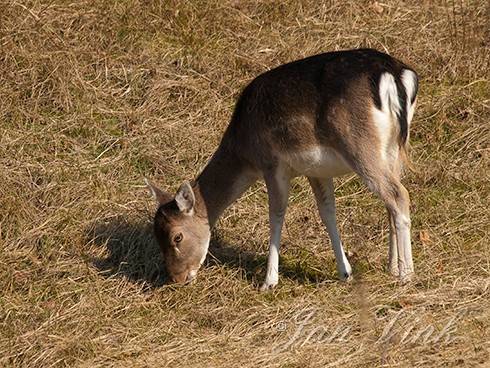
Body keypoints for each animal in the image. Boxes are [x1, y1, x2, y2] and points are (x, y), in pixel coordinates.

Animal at [145, 48, 418, 290]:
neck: (243, 149)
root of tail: (395, 74)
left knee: (398, 194)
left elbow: (276, 214)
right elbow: (327, 212)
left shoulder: (271, 163)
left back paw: (406, 275)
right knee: (390, 200)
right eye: (156, 237)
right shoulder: (317, 171)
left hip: (359, 144)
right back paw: (392, 268)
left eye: (177, 237)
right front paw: (345, 272)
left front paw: (269, 281)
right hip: (392, 149)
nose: (177, 278)